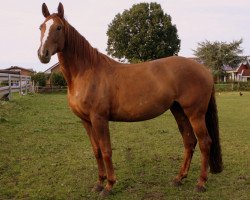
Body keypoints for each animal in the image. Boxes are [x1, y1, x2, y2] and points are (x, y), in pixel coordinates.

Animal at [37, 2, 223, 197]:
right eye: (41, 27)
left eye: (58, 27)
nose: (43, 54)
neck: (86, 72)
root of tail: (205, 70)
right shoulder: (86, 121)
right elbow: (96, 151)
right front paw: (99, 183)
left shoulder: (99, 119)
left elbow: (106, 150)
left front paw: (109, 186)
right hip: (179, 110)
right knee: (189, 141)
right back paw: (179, 178)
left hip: (195, 113)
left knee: (205, 142)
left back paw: (200, 183)